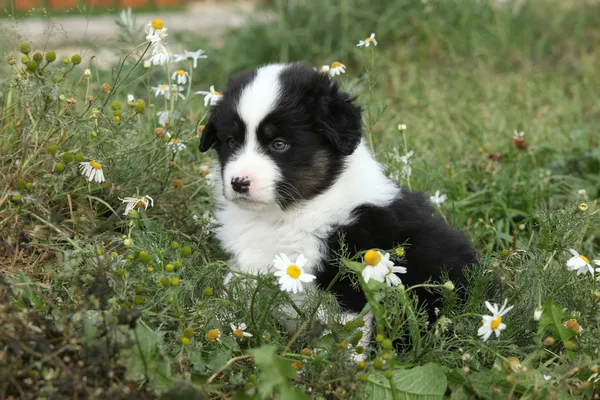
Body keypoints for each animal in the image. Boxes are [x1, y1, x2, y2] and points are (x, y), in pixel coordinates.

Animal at [199, 61, 480, 344]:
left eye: (279, 144)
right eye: (231, 141)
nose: (239, 182)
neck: (288, 214)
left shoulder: (349, 282)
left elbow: (343, 337)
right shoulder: (251, 265)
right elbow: (230, 295)